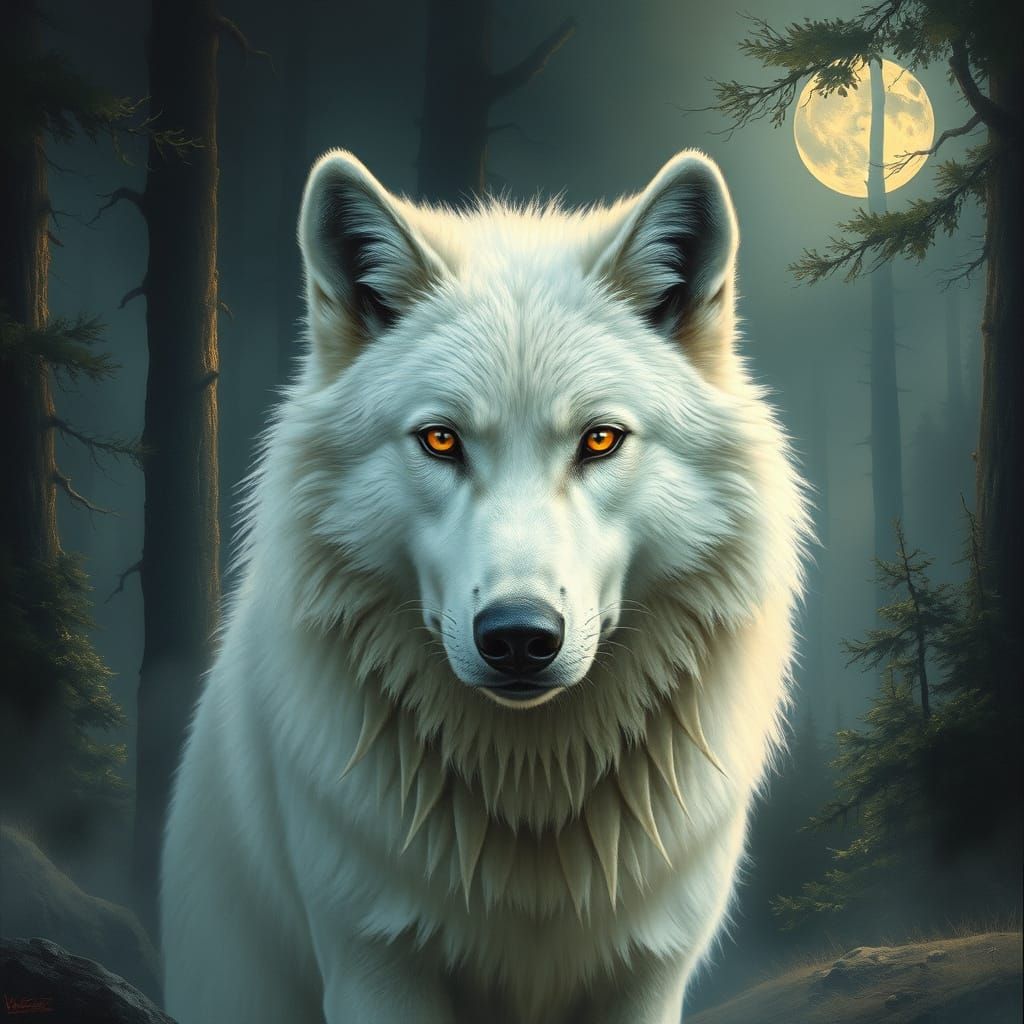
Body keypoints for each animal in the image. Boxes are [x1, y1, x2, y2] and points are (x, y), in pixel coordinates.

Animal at [160, 148, 808, 1024]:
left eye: (600, 440)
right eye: (441, 440)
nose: (520, 637)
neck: (529, 788)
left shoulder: (648, 971)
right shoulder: (375, 959)